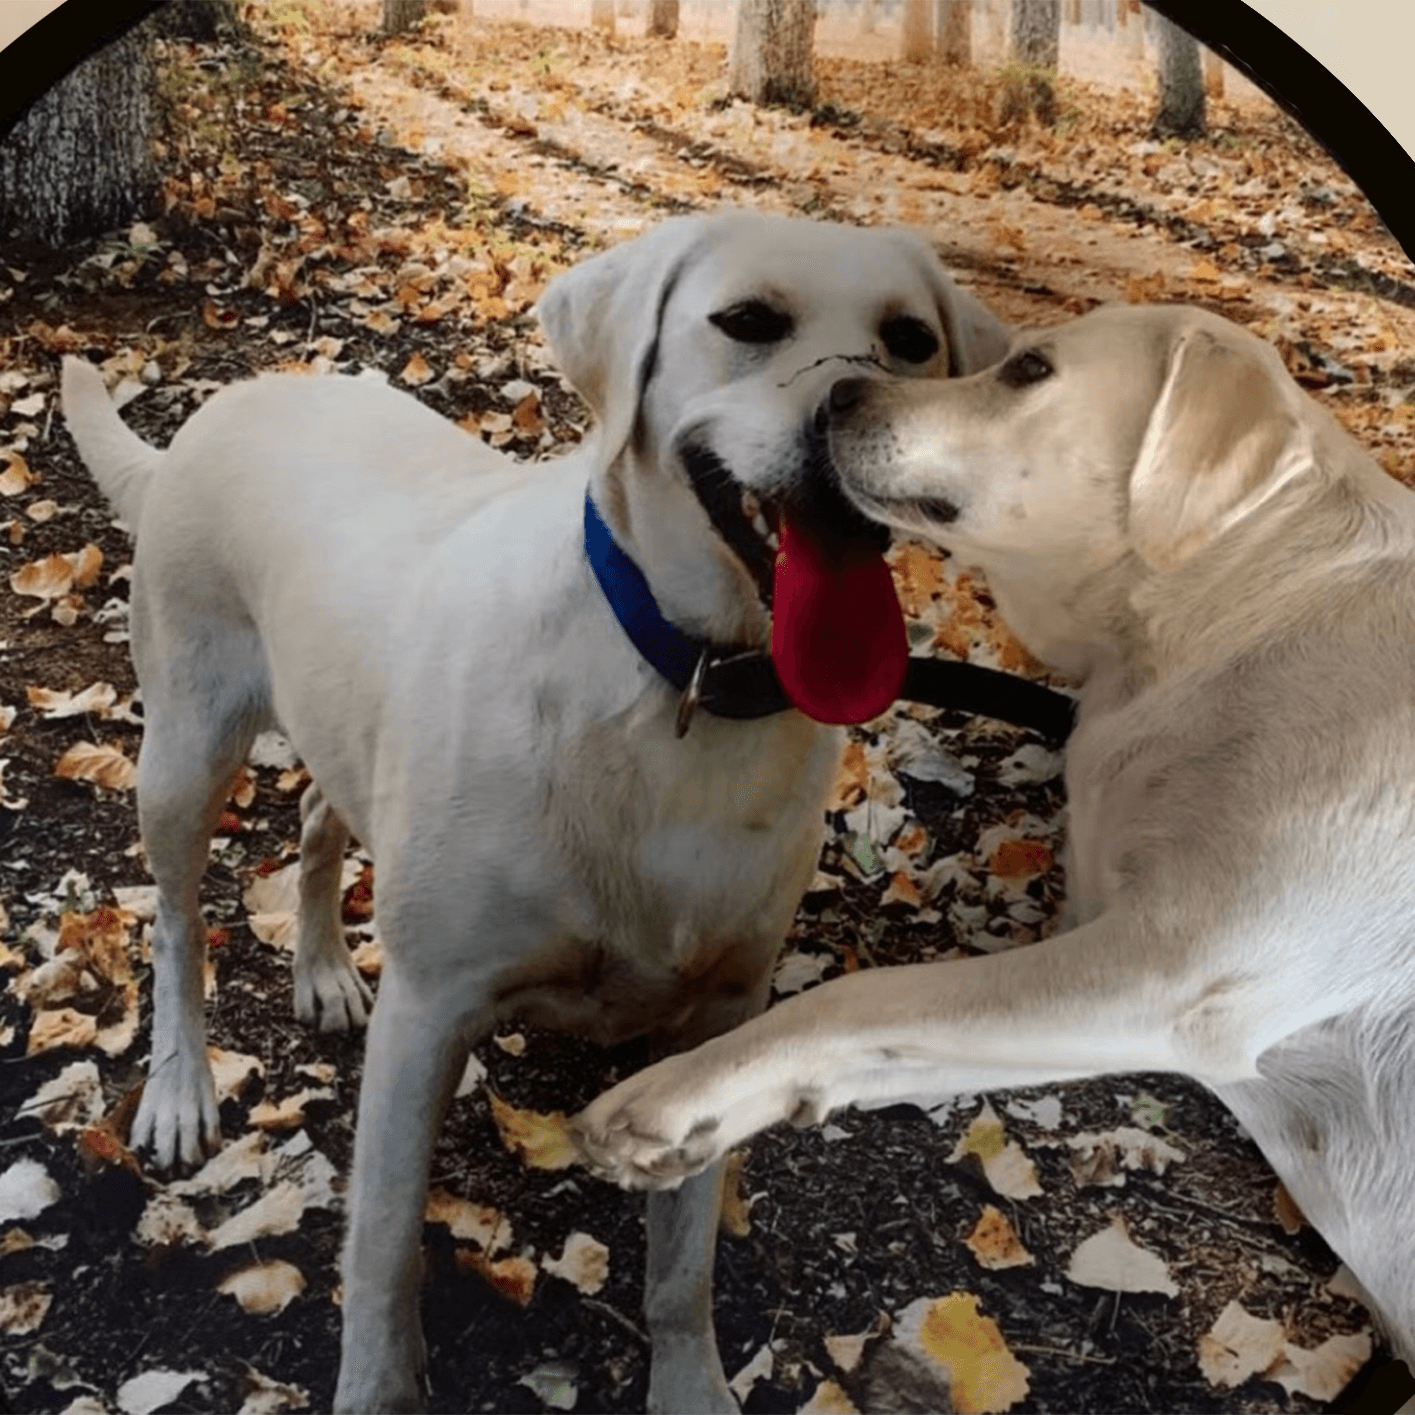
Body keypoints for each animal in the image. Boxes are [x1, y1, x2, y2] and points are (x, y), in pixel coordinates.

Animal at [60, 212, 1013, 1415]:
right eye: (748, 320)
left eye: (910, 339)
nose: (855, 412)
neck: (683, 680)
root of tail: (224, 407)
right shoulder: (428, 1012)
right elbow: (383, 1251)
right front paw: (378, 1383)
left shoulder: (719, 1019)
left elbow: (682, 1266)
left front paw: (689, 1382)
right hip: (186, 748)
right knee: (179, 923)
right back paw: (181, 1085)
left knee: (321, 816)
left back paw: (322, 967)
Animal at [574, 301, 1415, 1369]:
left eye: (1029, 371)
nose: (837, 392)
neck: (1232, 605)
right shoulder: (1114, 981)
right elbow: (879, 1035)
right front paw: (711, 1113)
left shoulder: (1171, 971)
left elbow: (853, 997)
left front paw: (671, 1093)